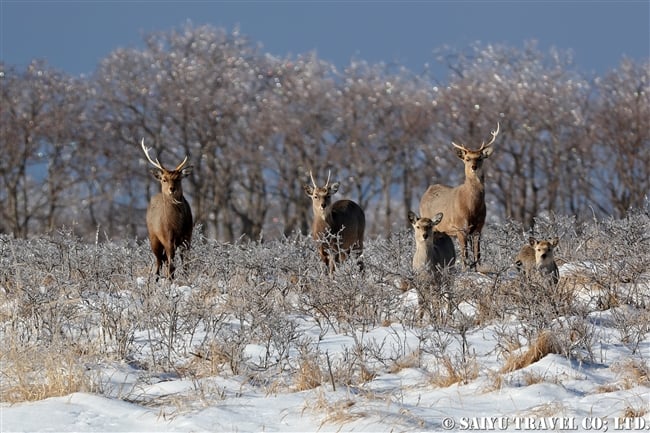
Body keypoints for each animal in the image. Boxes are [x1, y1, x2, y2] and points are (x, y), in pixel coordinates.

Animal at [140, 139, 191, 280]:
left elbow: (186, 264)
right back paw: (156, 279)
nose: (171, 189)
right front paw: (170, 281)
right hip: (153, 237)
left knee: (164, 261)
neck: (177, 224)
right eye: (164, 179)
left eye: (178, 179)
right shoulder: (168, 237)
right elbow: (172, 266)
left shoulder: (188, 237)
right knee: (159, 262)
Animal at [418, 121, 498, 270]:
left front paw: (478, 269)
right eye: (467, 158)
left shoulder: (479, 228)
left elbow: (478, 254)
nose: (473, 167)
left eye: (480, 158)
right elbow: (464, 255)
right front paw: (466, 269)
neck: (471, 207)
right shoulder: (460, 227)